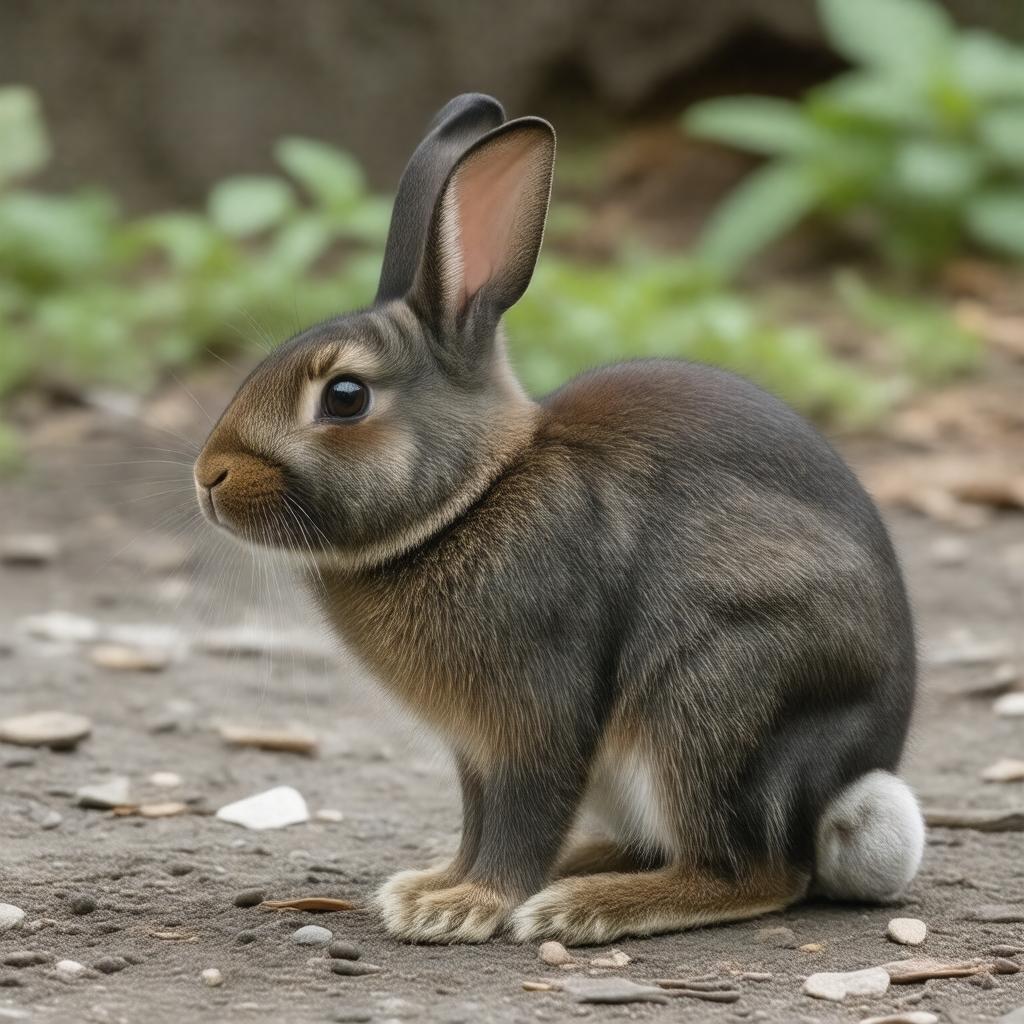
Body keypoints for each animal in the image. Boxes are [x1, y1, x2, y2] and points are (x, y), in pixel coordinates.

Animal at [194, 93, 924, 946]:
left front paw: (465, 906)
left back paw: (586, 904)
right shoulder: (475, 751)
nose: (208, 477)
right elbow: (480, 820)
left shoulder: (537, 718)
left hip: (715, 699)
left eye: (345, 397)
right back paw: (583, 868)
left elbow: (522, 816)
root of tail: (839, 789)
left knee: (753, 872)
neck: (469, 499)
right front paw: (432, 886)